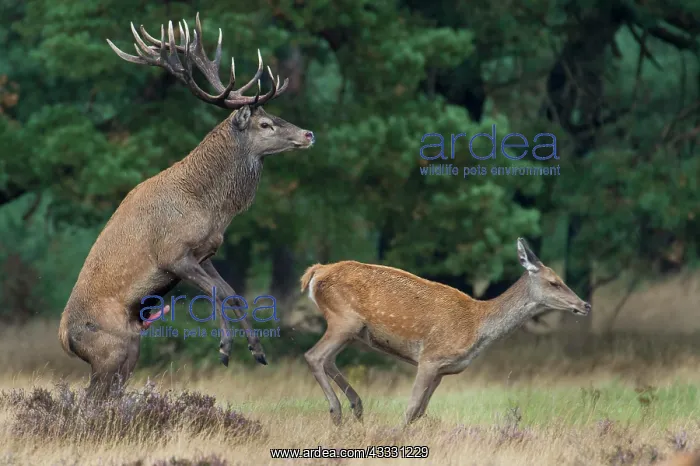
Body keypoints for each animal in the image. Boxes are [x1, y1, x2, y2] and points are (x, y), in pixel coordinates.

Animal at [58, 12, 315, 397]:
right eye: (266, 123)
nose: (308, 134)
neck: (210, 208)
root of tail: (63, 339)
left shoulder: (205, 254)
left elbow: (233, 295)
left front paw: (258, 351)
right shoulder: (173, 254)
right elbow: (217, 294)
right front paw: (224, 350)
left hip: (131, 348)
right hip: (109, 348)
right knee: (91, 398)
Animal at [299, 238, 591, 426]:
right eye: (554, 282)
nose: (585, 305)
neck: (477, 327)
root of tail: (316, 272)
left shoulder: (443, 370)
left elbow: (420, 411)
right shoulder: (430, 357)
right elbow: (411, 408)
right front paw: (394, 436)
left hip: (351, 329)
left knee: (328, 359)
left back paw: (356, 408)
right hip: (343, 319)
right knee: (314, 356)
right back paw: (337, 413)